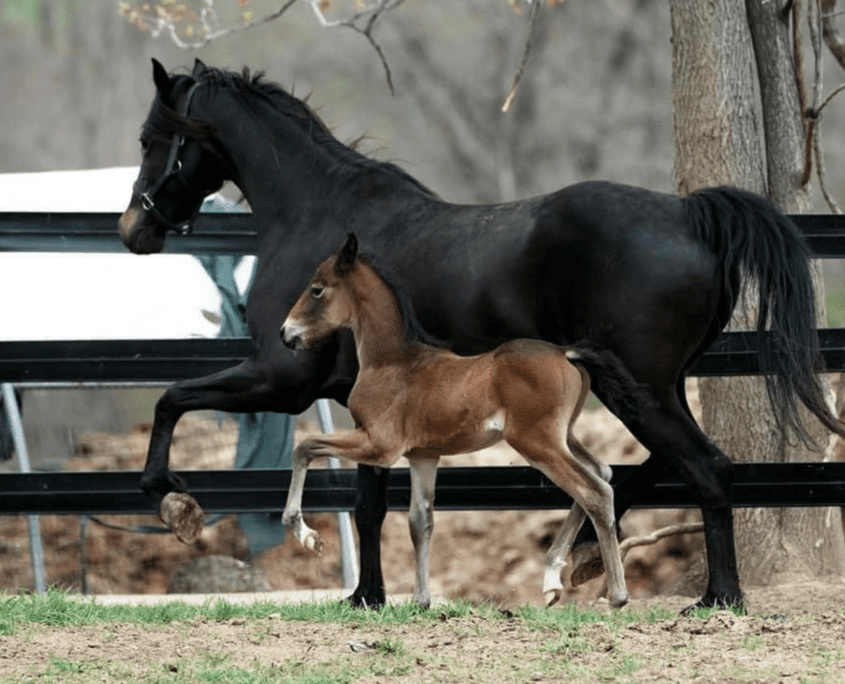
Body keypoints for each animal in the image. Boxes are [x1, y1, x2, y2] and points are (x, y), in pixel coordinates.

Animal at [278, 235, 628, 608]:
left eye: (317, 289)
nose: (286, 333)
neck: (392, 362)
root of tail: (566, 353)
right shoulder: (423, 456)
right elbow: (420, 521)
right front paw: (421, 600)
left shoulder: (378, 445)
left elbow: (305, 447)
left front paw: (305, 534)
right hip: (565, 436)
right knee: (602, 471)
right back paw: (551, 579)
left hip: (537, 443)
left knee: (595, 491)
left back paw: (616, 595)